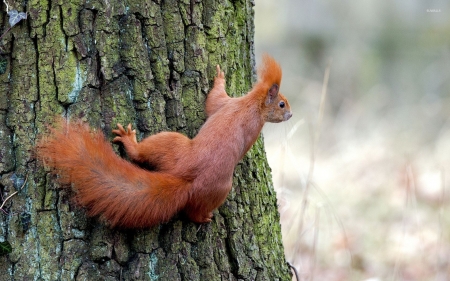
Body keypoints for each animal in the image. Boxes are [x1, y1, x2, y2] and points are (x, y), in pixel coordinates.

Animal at [37, 54, 294, 228]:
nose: (291, 115)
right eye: (282, 103)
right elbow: (214, 99)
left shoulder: (229, 106)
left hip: (174, 146)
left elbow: (213, 102)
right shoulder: (232, 106)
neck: (252, 105)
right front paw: (220, 77)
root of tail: (183, 177)